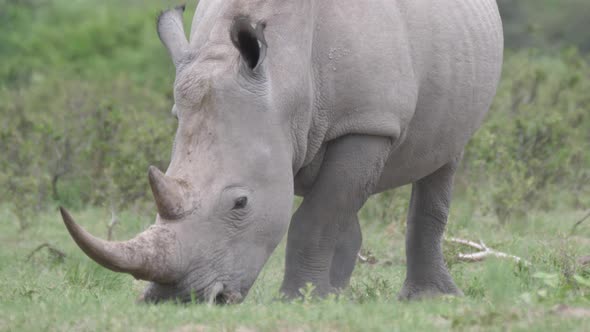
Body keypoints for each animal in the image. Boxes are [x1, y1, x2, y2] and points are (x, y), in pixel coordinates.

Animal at [59, 0, 504, 304]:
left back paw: (431, 298)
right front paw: (317, 300)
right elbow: (327, 208)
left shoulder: (367, 122)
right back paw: (337, 295)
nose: (178, 299)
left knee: (440, 164)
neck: (286, 82)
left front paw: (298, 300)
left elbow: (316, 217)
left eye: (240, 203)